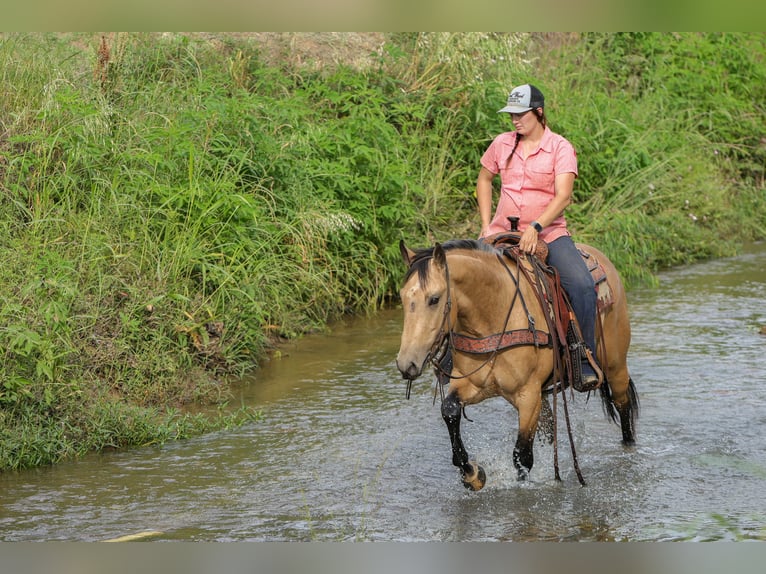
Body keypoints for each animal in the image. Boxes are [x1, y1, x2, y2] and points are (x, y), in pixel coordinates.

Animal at [395, 238, 639, 490]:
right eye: (402, 297)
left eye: (434, 299)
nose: (406, 364)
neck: (495, 313)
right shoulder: (475, 384)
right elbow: (450, 409)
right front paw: (472, 474)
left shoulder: (527, 395)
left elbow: (522, 455)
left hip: (615, 365)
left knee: (623, 404)